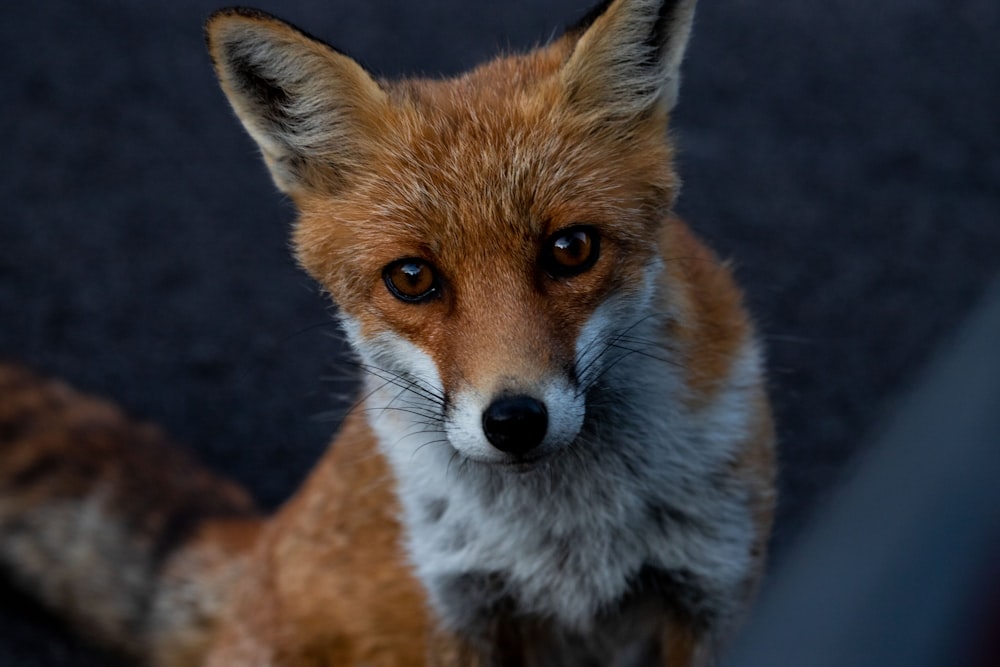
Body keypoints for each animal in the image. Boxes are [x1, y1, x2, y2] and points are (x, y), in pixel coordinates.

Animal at [0, 2, 772, 664]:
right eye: (411, 277)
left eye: (571, 248)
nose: (515, 421)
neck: (566, 539)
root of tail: (264, 546)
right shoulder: (460, 603)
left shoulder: (713, 587)